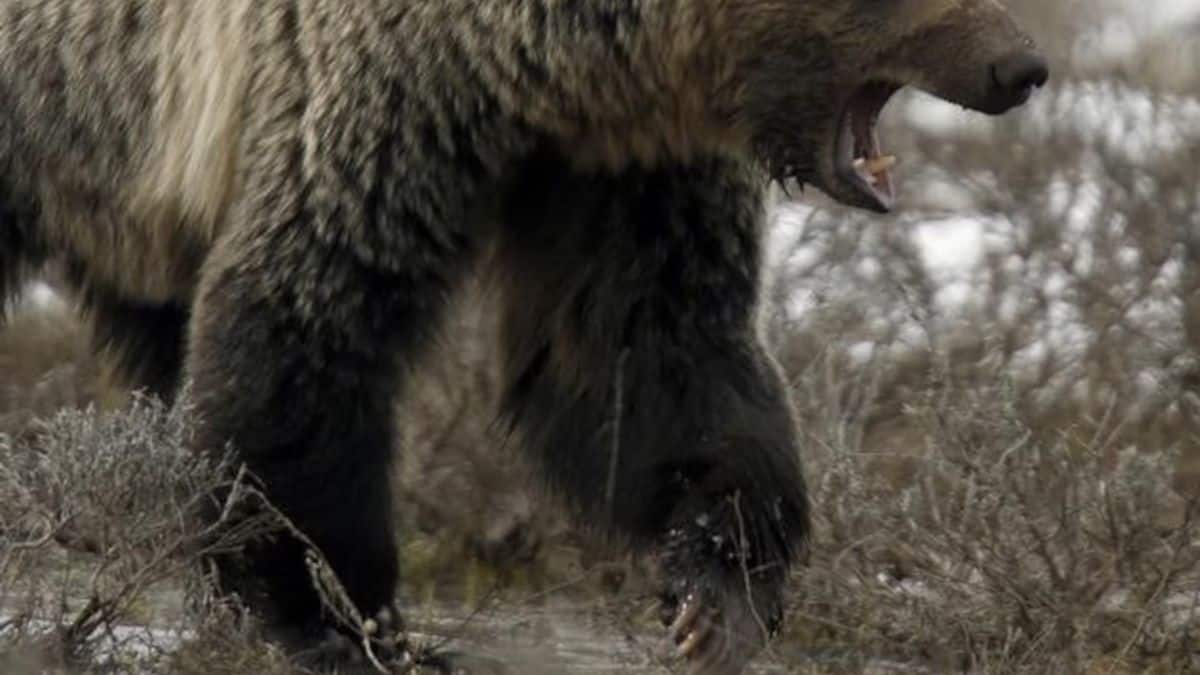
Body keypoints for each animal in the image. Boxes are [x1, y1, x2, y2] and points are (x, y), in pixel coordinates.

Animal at [0, 0, 1047, 672]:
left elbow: (646, 350)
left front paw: (717, 591)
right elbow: (305, 329)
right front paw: (333, 613)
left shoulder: (618, 165)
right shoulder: (370, 108)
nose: (1022, 68)